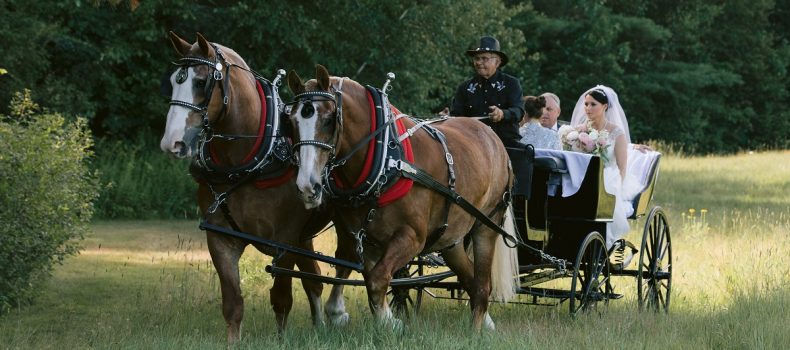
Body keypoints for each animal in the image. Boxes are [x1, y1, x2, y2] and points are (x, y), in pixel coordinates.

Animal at [161, 33, 352, 342]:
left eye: (200, 82)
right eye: (173, 81)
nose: (172, 142)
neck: (247, 162)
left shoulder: (285, 240)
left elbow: (282, 299)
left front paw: (282, 341)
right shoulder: (220, 239)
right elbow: (233, 303)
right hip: (304, 237)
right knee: (313, 280)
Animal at [288, 65, 516, 330]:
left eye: (328, 120)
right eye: (291, 122)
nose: (307, 186)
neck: (388, 159)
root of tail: (492, 137)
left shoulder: (412, 237)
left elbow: (377, 280)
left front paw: (391, 322)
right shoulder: (364, 240)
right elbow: (371, 280)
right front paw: (384, 319)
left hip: (486, 224)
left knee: (482, 284)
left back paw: (476, 329)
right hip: (451, 238)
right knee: (470, 279)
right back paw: (486, 322)